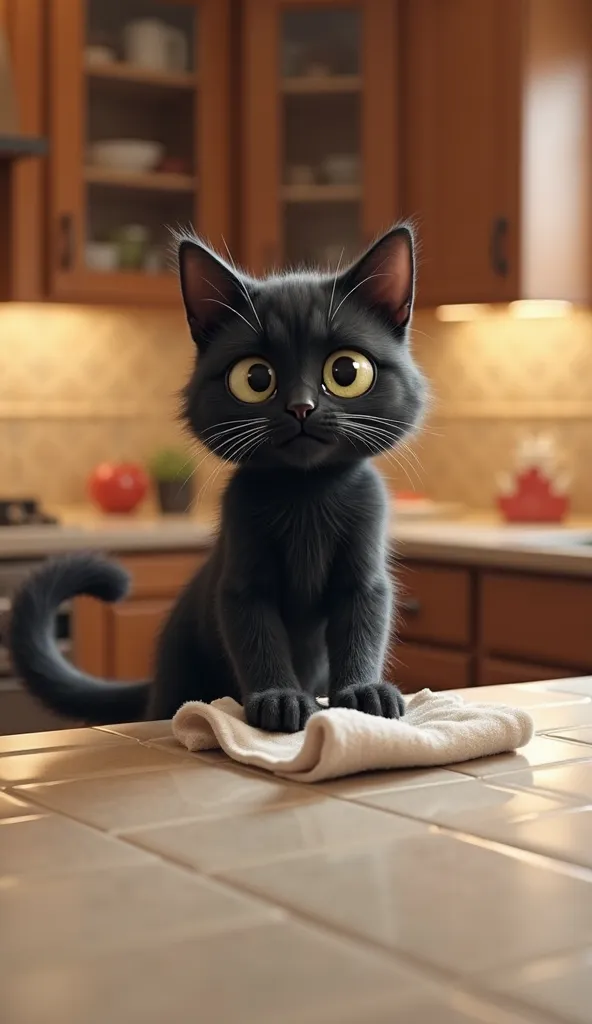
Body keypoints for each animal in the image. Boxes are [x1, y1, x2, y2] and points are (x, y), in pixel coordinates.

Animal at [9, 227, 424, 733]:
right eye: (256, 377)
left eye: (345, 371)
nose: (301, 406)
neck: (305, 492)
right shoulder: (242, 569)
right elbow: (256, 636)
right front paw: (279, 700)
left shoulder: (364, 567)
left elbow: (363, 625)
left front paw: (365, 692)